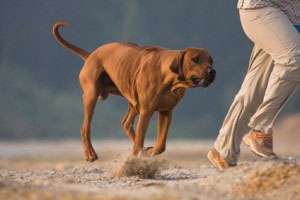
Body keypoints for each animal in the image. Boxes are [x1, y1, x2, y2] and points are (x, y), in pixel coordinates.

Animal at [52, 21, 216, 161]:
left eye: (211, 60)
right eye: (195, 59)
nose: (212, 72)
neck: (170, 78)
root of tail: (91, 55)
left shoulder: (166, 112)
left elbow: (161, 145)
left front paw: (150, 151)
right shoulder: (146, 112)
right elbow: (140, 139)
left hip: (133, 99)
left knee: (126, 124)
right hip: (91, 95)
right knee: (85, 128)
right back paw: (90, 153)